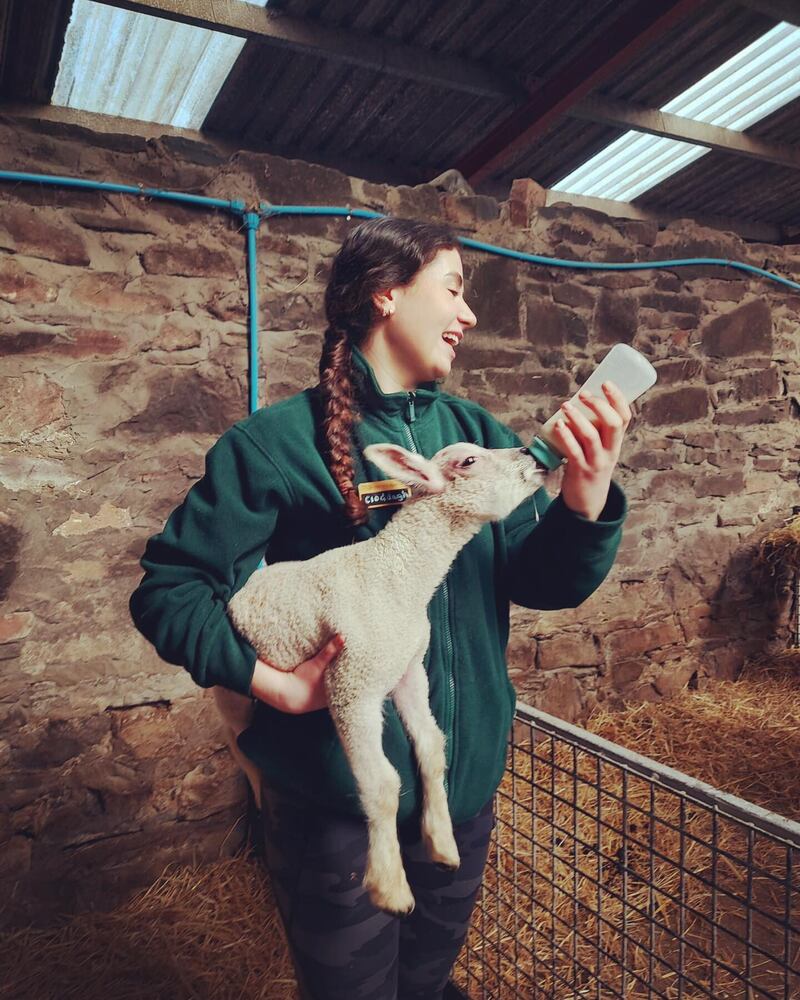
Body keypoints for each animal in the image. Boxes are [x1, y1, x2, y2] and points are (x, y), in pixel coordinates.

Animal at [216, 440, 548, 916]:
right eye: (469, 461)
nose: (533, 455)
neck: (397, 575)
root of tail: (254, 575)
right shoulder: (352, 683)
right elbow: (383, 785)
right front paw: (390, 886)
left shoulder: (406, 669)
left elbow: (432, 746)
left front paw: (442, 842)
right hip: (234, 688)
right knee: (237, 740)